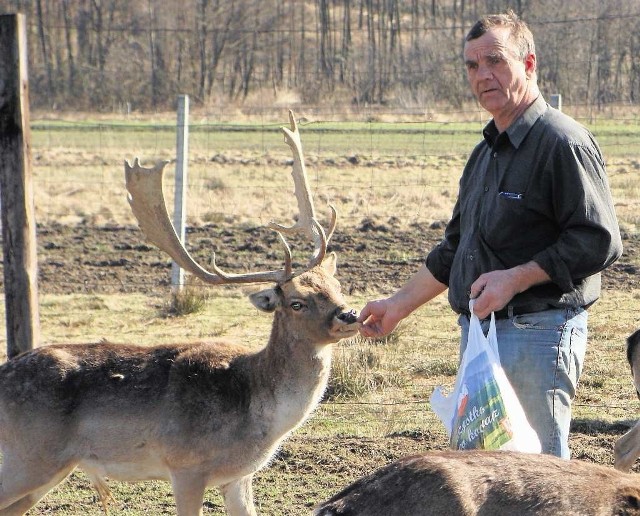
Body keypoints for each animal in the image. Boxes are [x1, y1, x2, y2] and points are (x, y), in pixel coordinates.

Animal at [0, 111, 360, 512]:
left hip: (47, 468)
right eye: (296, 302)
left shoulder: (239, 477)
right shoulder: (186, 464)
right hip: (29, 455)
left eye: (337, 287)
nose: (349, 315)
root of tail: (1, 376)